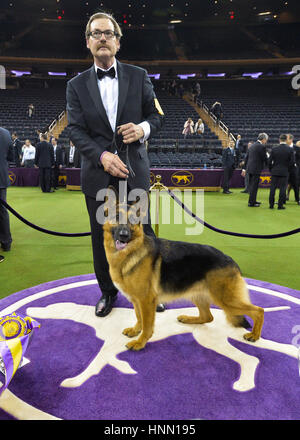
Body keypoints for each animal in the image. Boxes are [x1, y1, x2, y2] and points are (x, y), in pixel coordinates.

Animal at [102, 189, 262, 350]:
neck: (129, 254)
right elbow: (139, 317)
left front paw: (140, 342)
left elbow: (147, 325)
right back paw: (188, 318)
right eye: (117, 217)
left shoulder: (146, 301)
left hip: (226, 300)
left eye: (133, 220)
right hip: (198, 295)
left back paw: (254, 335)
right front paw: (136, 330)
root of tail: (231, 260)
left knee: (258, 311)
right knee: (208, 317)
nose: (124, 236)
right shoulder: (137, 300)